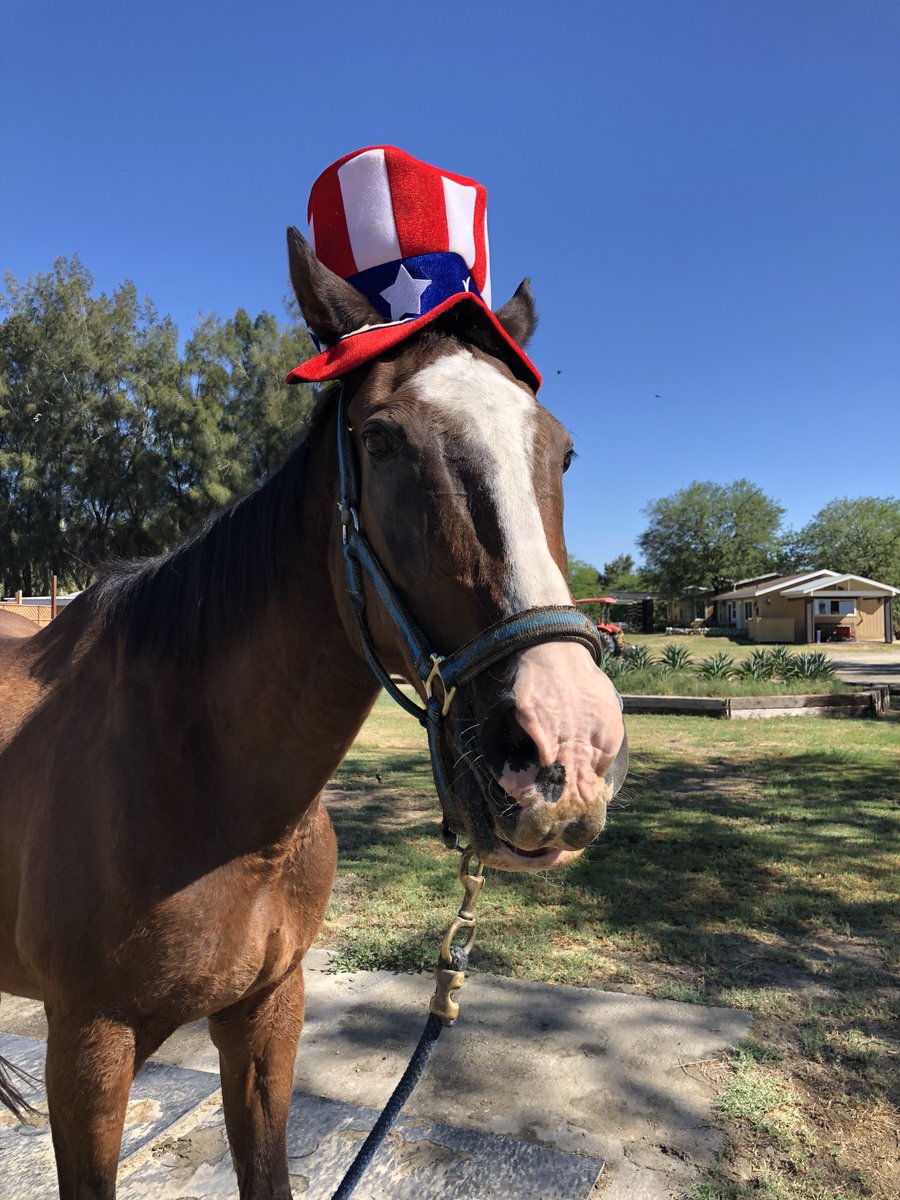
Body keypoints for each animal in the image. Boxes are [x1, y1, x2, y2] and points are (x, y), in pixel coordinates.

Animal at [0, 227, 628, 1199]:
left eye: (560, 452)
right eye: (381, 439)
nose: (569, 747)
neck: (206, 791)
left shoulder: (269, 1015)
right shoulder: (87, 1055)